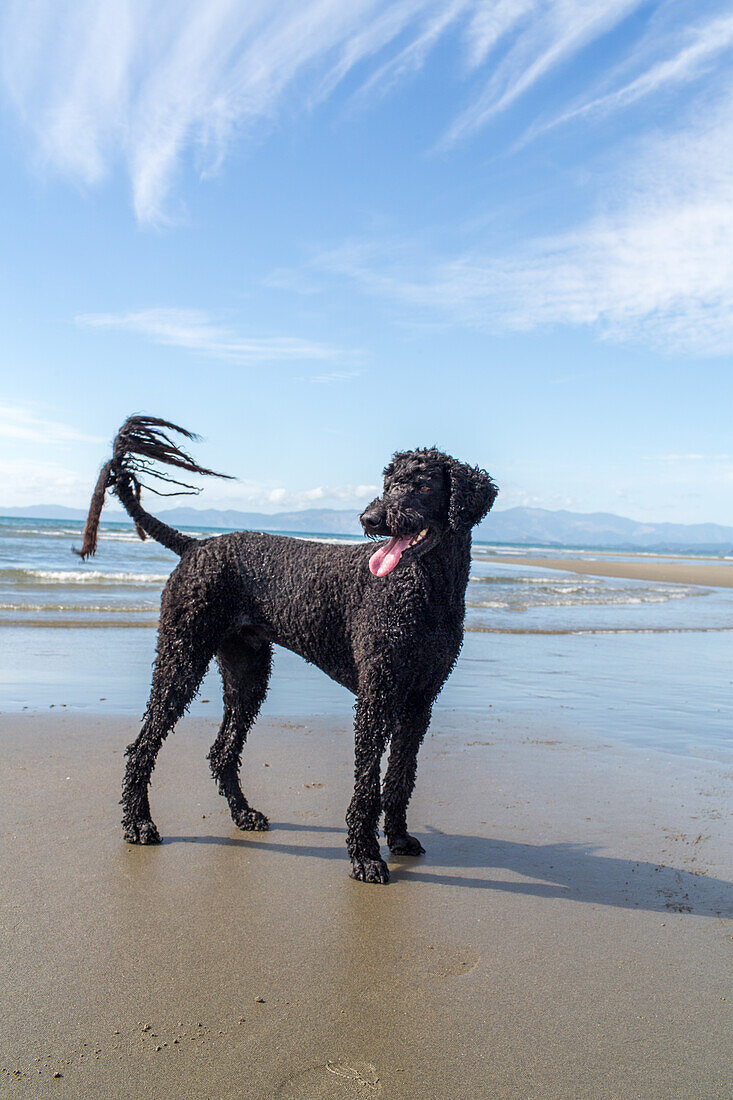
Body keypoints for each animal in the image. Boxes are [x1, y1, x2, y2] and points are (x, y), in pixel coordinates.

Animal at [77, 415, 493, 880]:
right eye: (387, 483)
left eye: (421, 486)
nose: (370, 517)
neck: (426, 591)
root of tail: (196, 545)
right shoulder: (377, 697)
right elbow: (368, 782)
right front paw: (365, 856)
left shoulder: (418, 703)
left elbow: (401, 776)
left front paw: (399, 838)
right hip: (180, 658)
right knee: (142, 748)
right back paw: (138, 823)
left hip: (247, 674)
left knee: (222, 753)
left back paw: (243, 815)